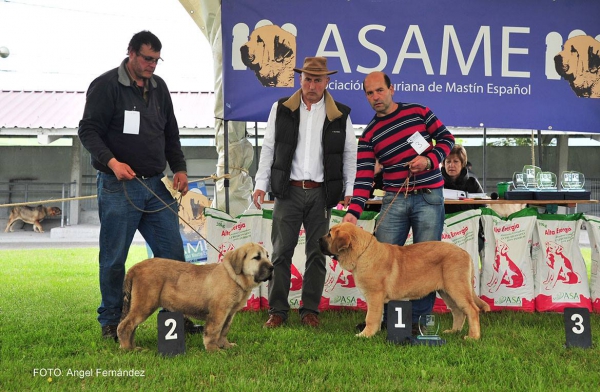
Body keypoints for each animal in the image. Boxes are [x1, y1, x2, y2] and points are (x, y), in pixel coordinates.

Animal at [115, 242, 274, 352]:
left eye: (267, 256)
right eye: (257, 257)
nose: (272, 268)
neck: (233, 276)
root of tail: (134, 268)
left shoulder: (229, 313)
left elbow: (224, 330)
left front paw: (225, 345)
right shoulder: (219, 312)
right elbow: (214, 331)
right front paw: (213, 350)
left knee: (131, 327)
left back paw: (132, 346)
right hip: (144, 305)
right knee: (124, 326)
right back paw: (128, 349)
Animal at [318, 224, 488, 340]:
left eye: (329, 234)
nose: (318, 239)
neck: (362, 253)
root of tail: (465, 252)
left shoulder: (374, 295)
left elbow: (370, 317)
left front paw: (365, 334)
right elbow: (376, 316)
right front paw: (375, 331)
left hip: (457, 287)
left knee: (472, 310)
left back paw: (473, 337)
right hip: (447, 291)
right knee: (458, 311)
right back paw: (454, 332)